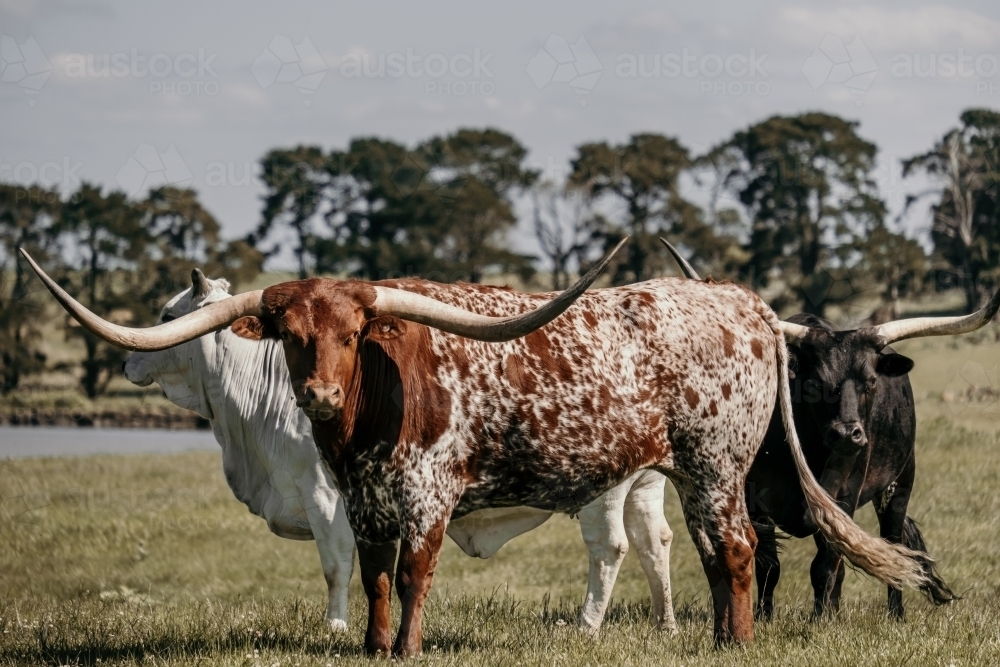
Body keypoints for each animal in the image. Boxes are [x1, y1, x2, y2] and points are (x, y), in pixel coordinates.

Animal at [121, 265, 677, 635]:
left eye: (167, 312)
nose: (128, 363)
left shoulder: (327, 496)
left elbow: (337, 566)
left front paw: (336, 628)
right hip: (644, 483)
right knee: (654, 541)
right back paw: (664, 624)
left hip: (604, 488)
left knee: (609, 547)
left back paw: (586, 625)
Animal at [660, 238, 963, 620]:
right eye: (816, 383)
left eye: (870, 382)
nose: (847, 434)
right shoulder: (753, 494)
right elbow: (769, 564)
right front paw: (764, 616)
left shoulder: (844, 494)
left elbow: (825, 564)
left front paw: (819, 620)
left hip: (900, 483)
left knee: (893, 544)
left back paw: (893, 614)